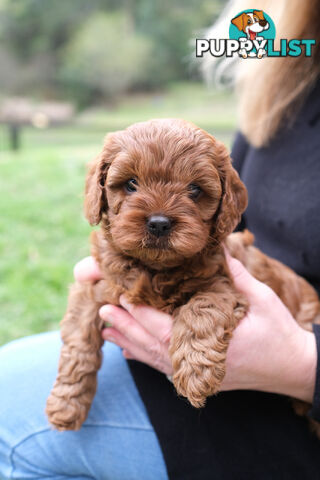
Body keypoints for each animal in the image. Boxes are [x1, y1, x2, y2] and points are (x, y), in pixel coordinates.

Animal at [46, 119, 320, 432]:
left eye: (194, 189)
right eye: (131, 183)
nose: (158, 223)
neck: (155, 269)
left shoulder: (224, 286)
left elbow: (201, 311)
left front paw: (196, 375)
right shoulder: (94, 286)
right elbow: (79, 340)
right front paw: (66, 404)